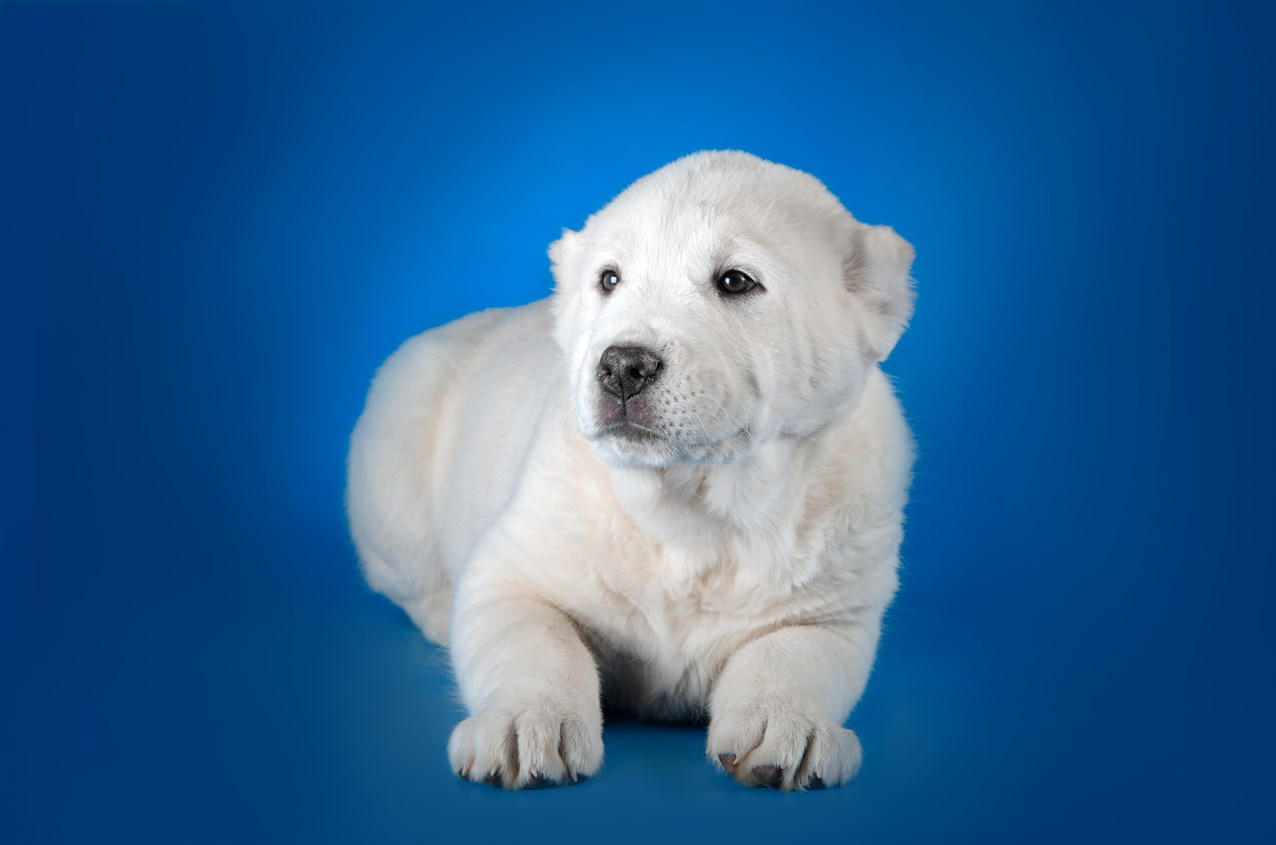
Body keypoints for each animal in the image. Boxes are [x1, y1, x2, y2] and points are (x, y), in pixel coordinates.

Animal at [341, 150, 918, 796]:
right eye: (609, 279)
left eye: (735, 281)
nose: (621, 366)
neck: (691, 503)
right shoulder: (522, 557)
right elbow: (534, 636)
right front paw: (525, 726)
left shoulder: (836, 599)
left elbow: (796, 652)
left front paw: (787, 731)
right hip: (393, 449)